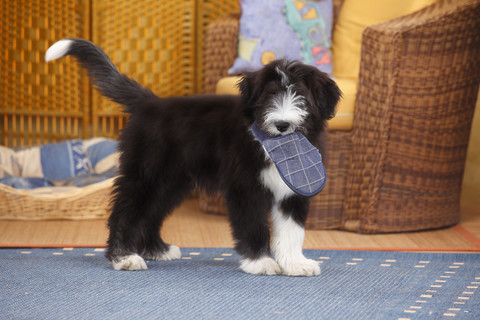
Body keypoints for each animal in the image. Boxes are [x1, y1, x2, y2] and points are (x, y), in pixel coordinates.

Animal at [44, 38, 338, 276]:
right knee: (126, 211)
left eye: (301, 96)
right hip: (147, 173)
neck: (275, 147)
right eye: (270, 95)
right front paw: (261, 262)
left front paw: (295, 264)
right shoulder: (245, 188)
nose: (282, 124)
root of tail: (150, 103)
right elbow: (253, 224)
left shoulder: (294, 191)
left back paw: (157, 249)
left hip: (172, 182)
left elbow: (292, 231)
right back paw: (124, 257)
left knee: (151, 212)